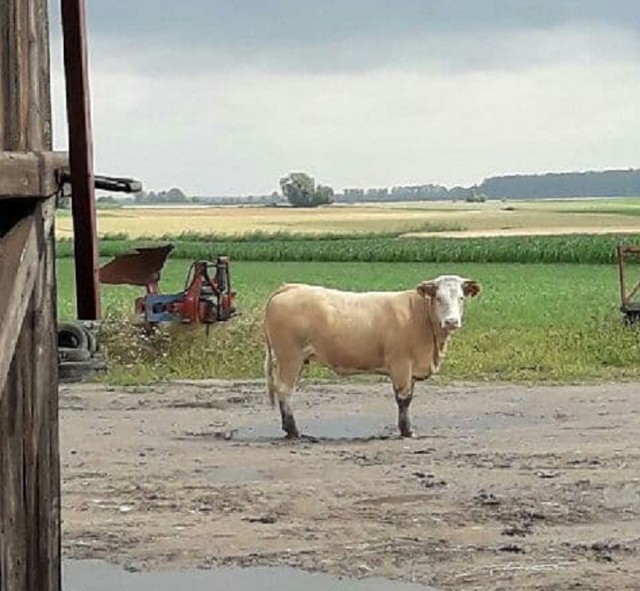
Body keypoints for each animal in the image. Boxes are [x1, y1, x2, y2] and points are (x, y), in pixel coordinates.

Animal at [262, 274, 480, 440]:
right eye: (438, 298)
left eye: (461, 298)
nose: (451, 321)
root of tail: (291, 287)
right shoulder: (401, 363)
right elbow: (403, 399)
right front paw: (406, 431)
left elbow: (409, 397)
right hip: (289, 357)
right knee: (285, 390)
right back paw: (293, 431)